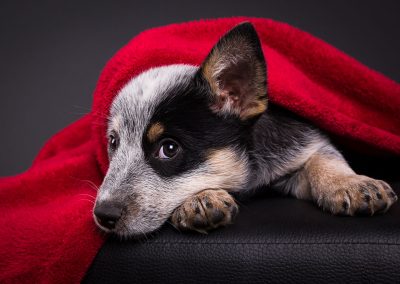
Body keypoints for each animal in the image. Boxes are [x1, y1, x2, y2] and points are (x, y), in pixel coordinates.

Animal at [93, 22, 396, 237]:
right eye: (113, 142)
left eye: (169, 148)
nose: (103, 214)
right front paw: (200, 199)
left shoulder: (298, 142)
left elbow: (324, 156)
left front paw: (351, 183)